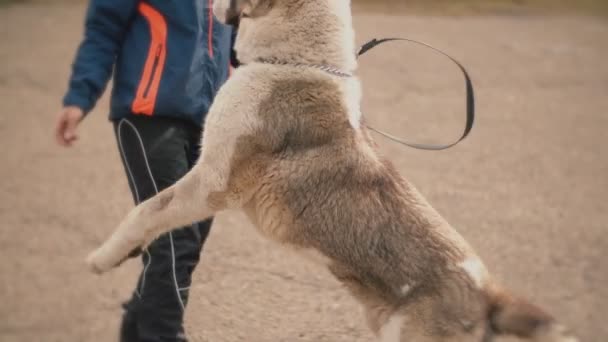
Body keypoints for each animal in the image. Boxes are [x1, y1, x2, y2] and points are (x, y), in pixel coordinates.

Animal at [84, 1, 576, 340]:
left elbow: (146, 210)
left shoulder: (211, 184)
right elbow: (153, 215)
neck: (294, 63)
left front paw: (102, 257)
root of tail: (490, 294)